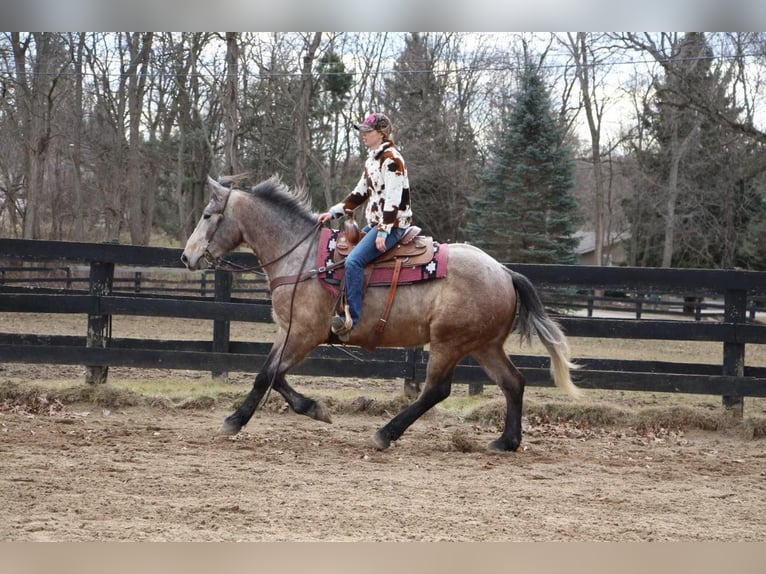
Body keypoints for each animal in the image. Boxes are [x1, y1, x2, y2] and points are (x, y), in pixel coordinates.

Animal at [182, 176, 584, 454]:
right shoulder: (289, 331)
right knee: (513, 382)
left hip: (449, 343)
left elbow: (266, 376)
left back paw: (385, 434)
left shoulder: (305, 334)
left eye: (207, 215)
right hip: (483, 345)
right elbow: (272, 375)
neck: (301, 258)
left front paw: (234, 420)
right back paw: (506, 442)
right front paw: (313, 409)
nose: (187, 257)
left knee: (436, 390)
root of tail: (504, 272)